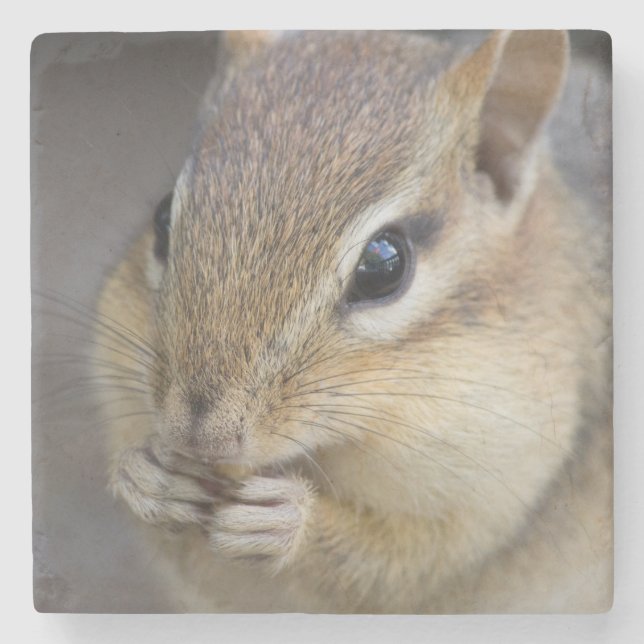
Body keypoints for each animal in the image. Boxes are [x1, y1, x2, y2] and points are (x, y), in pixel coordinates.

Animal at [95, 30, 612, 613]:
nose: (202, 435)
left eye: (385, 264)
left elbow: (403, 563)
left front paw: (290, 522)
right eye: (162, 218)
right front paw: (143, 479)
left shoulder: (498, 484)